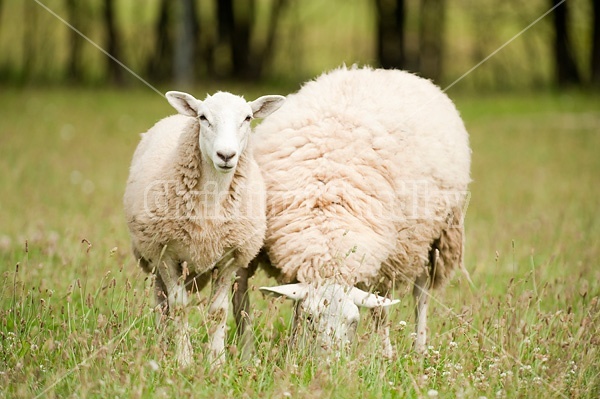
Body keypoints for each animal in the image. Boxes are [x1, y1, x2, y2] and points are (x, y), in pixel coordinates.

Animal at [123, 89, 284, 368]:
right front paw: (184, 360)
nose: (226, 155)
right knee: (161, 303)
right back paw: (161, 345)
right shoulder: (166, 255)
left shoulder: (229, 258)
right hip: (152, 257)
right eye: (203, 117)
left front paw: (216, 361)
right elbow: (178, 307)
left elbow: (218, 312)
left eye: (248, 118)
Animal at [251, 67, 472, 358]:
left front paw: (385, 353)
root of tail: (385, 71)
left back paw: (419, 346)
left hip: (435, 236)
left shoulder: (387, 258)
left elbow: (380, 310)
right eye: (310, 318)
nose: (327, 362)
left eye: (353, 322)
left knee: (421, 294)